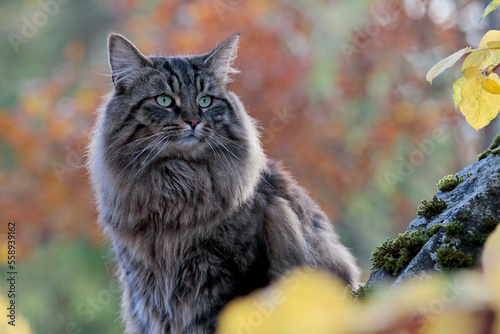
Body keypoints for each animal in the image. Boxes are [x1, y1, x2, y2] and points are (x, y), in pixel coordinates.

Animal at [87, 32, 360, 334]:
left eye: (205, 101)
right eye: (164, 100)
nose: (194, 121)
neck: (177, 191)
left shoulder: (231, 275)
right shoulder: (144, 289)